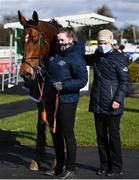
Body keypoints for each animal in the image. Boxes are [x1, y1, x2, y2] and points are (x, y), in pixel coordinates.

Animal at [17, 10, 60, 171]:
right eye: (21, 41)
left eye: (35, 40)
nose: (25, 73)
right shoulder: (40, 98)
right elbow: (41, 125)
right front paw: (37, 159)